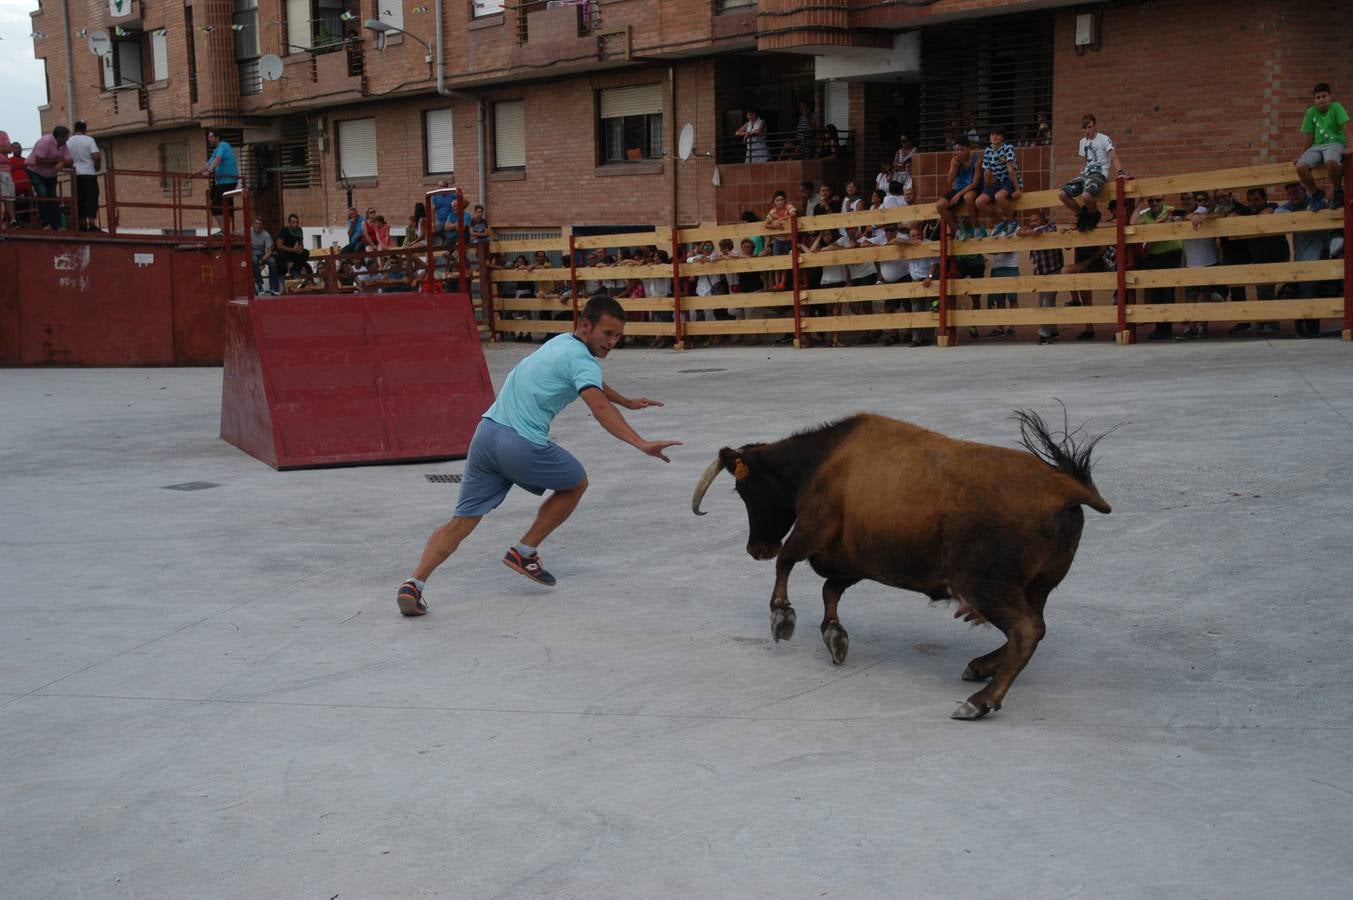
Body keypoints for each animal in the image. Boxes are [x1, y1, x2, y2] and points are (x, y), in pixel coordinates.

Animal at [692, 411, 1114, 720]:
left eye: (743, 489)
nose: (756, 548)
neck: (820, 461)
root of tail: (1065, 489)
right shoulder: (850, 561)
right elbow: (829, 590)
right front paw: (835, 636)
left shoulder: (812, 532)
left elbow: (787, 564)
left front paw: (782, 617)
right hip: (1035, 587)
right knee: (1034, 628)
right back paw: (980, 668)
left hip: (985, 585)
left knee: (1026, 630)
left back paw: (979, 702)